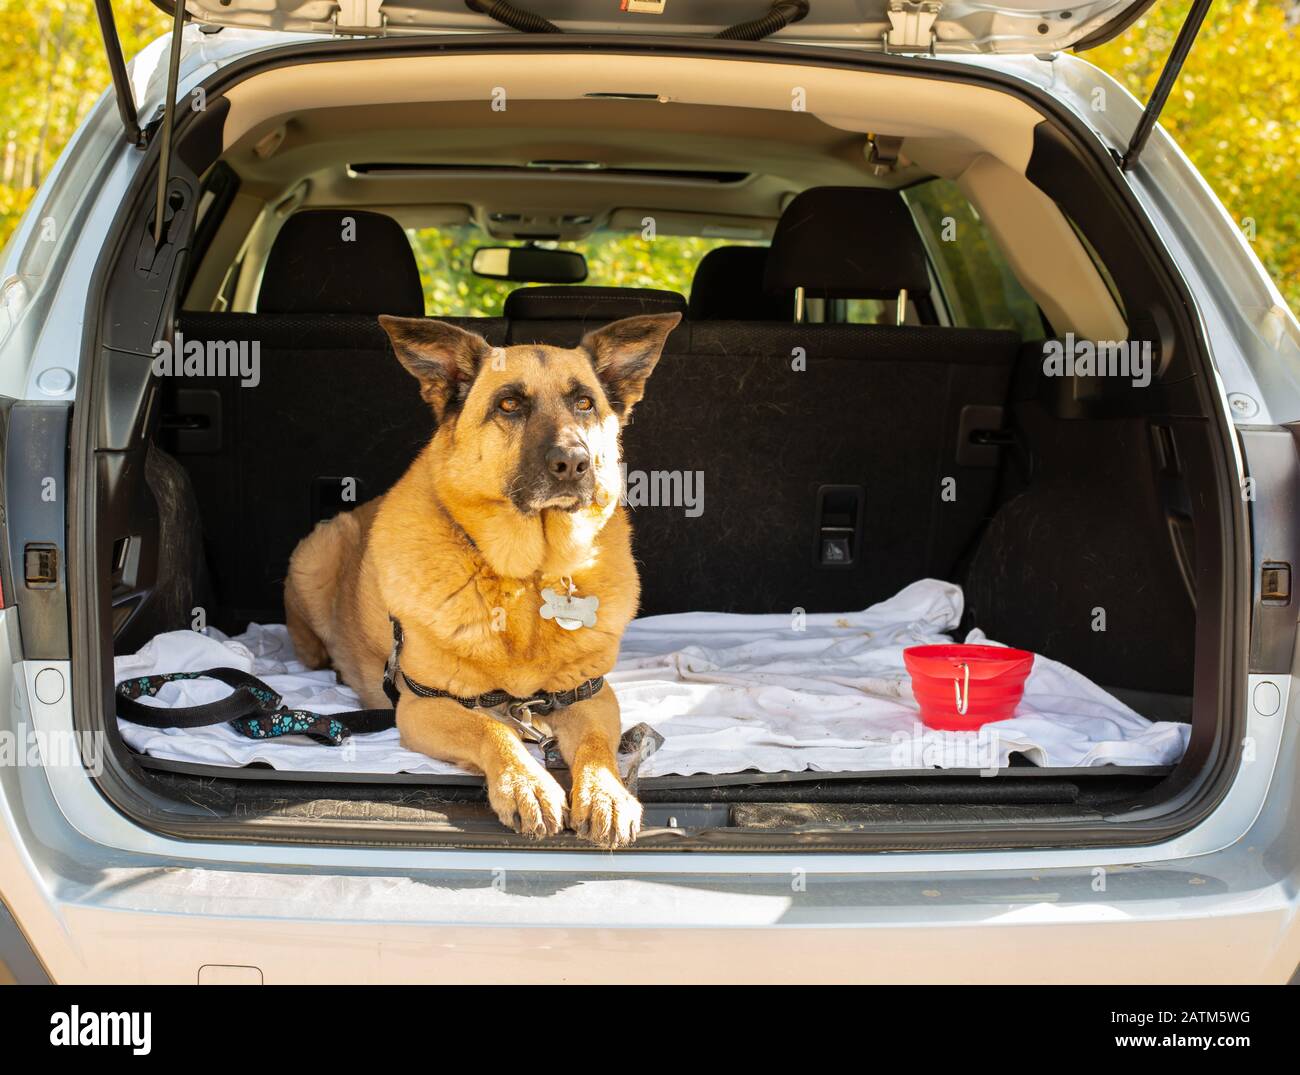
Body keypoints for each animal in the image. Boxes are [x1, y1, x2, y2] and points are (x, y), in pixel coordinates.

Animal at [284, 310, 681, 847]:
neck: (527, 578)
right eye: (509, 404)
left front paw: (608, 794)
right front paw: (526, 784)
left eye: (585, 403)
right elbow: (491, 730)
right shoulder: (422, 708)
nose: (575, 463)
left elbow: (598, 747)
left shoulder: (593, 697)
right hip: (315, 556)